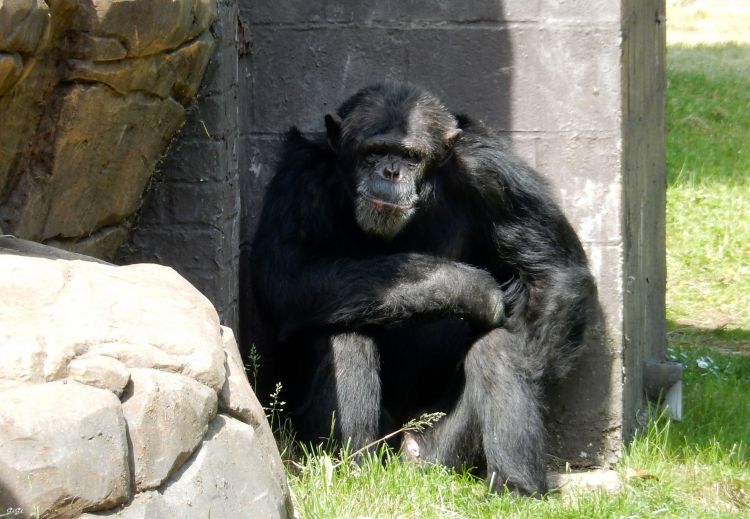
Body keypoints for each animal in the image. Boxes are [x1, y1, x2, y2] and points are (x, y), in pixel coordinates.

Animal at [253, 81, 600, 496]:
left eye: (410, 156)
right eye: (374, 152)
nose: (390, 171)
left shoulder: (494, 172)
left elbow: (552, 268)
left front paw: (531, 367)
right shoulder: (299, 178)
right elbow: (287, 275)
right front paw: (472, 288)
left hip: (440, 449)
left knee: (496, 350)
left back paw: (516, 487)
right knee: (346, 339)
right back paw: (356, 468)